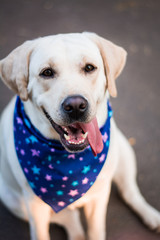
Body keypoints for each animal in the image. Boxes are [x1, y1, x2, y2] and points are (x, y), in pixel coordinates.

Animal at [0, 31, 159, 240]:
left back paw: (151, 215)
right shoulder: (34, 206)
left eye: (89, 68)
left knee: (129, 192)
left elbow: (96, 230)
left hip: (124, 152)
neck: (69, 160)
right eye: (47, 72)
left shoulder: (99, 197)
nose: (75, 105)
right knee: (68, 217)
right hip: (13, 201)